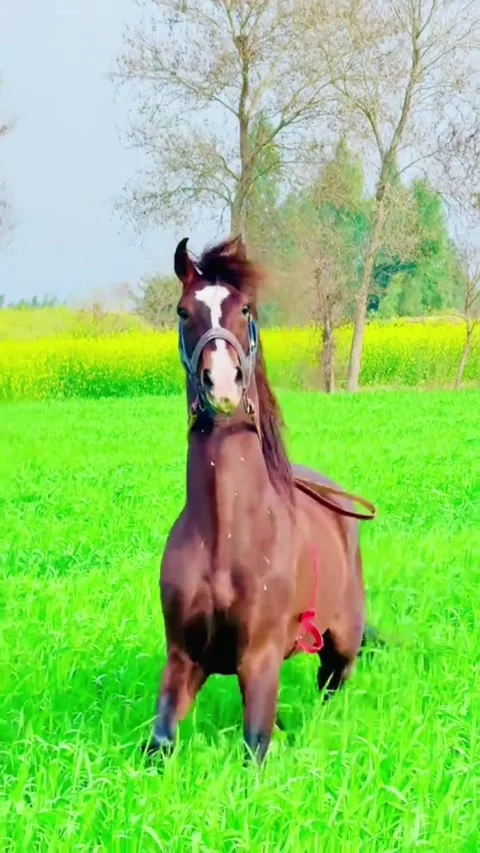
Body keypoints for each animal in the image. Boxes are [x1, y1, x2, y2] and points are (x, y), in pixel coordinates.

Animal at [144, 235, 377, 765]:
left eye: (245, 308)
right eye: (183, 311)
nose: (222, 383)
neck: (226, 533)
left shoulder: (260, 659)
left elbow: (255, 746)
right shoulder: (184, 658)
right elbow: (160, 742)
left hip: (342, 643)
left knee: (334, 684)